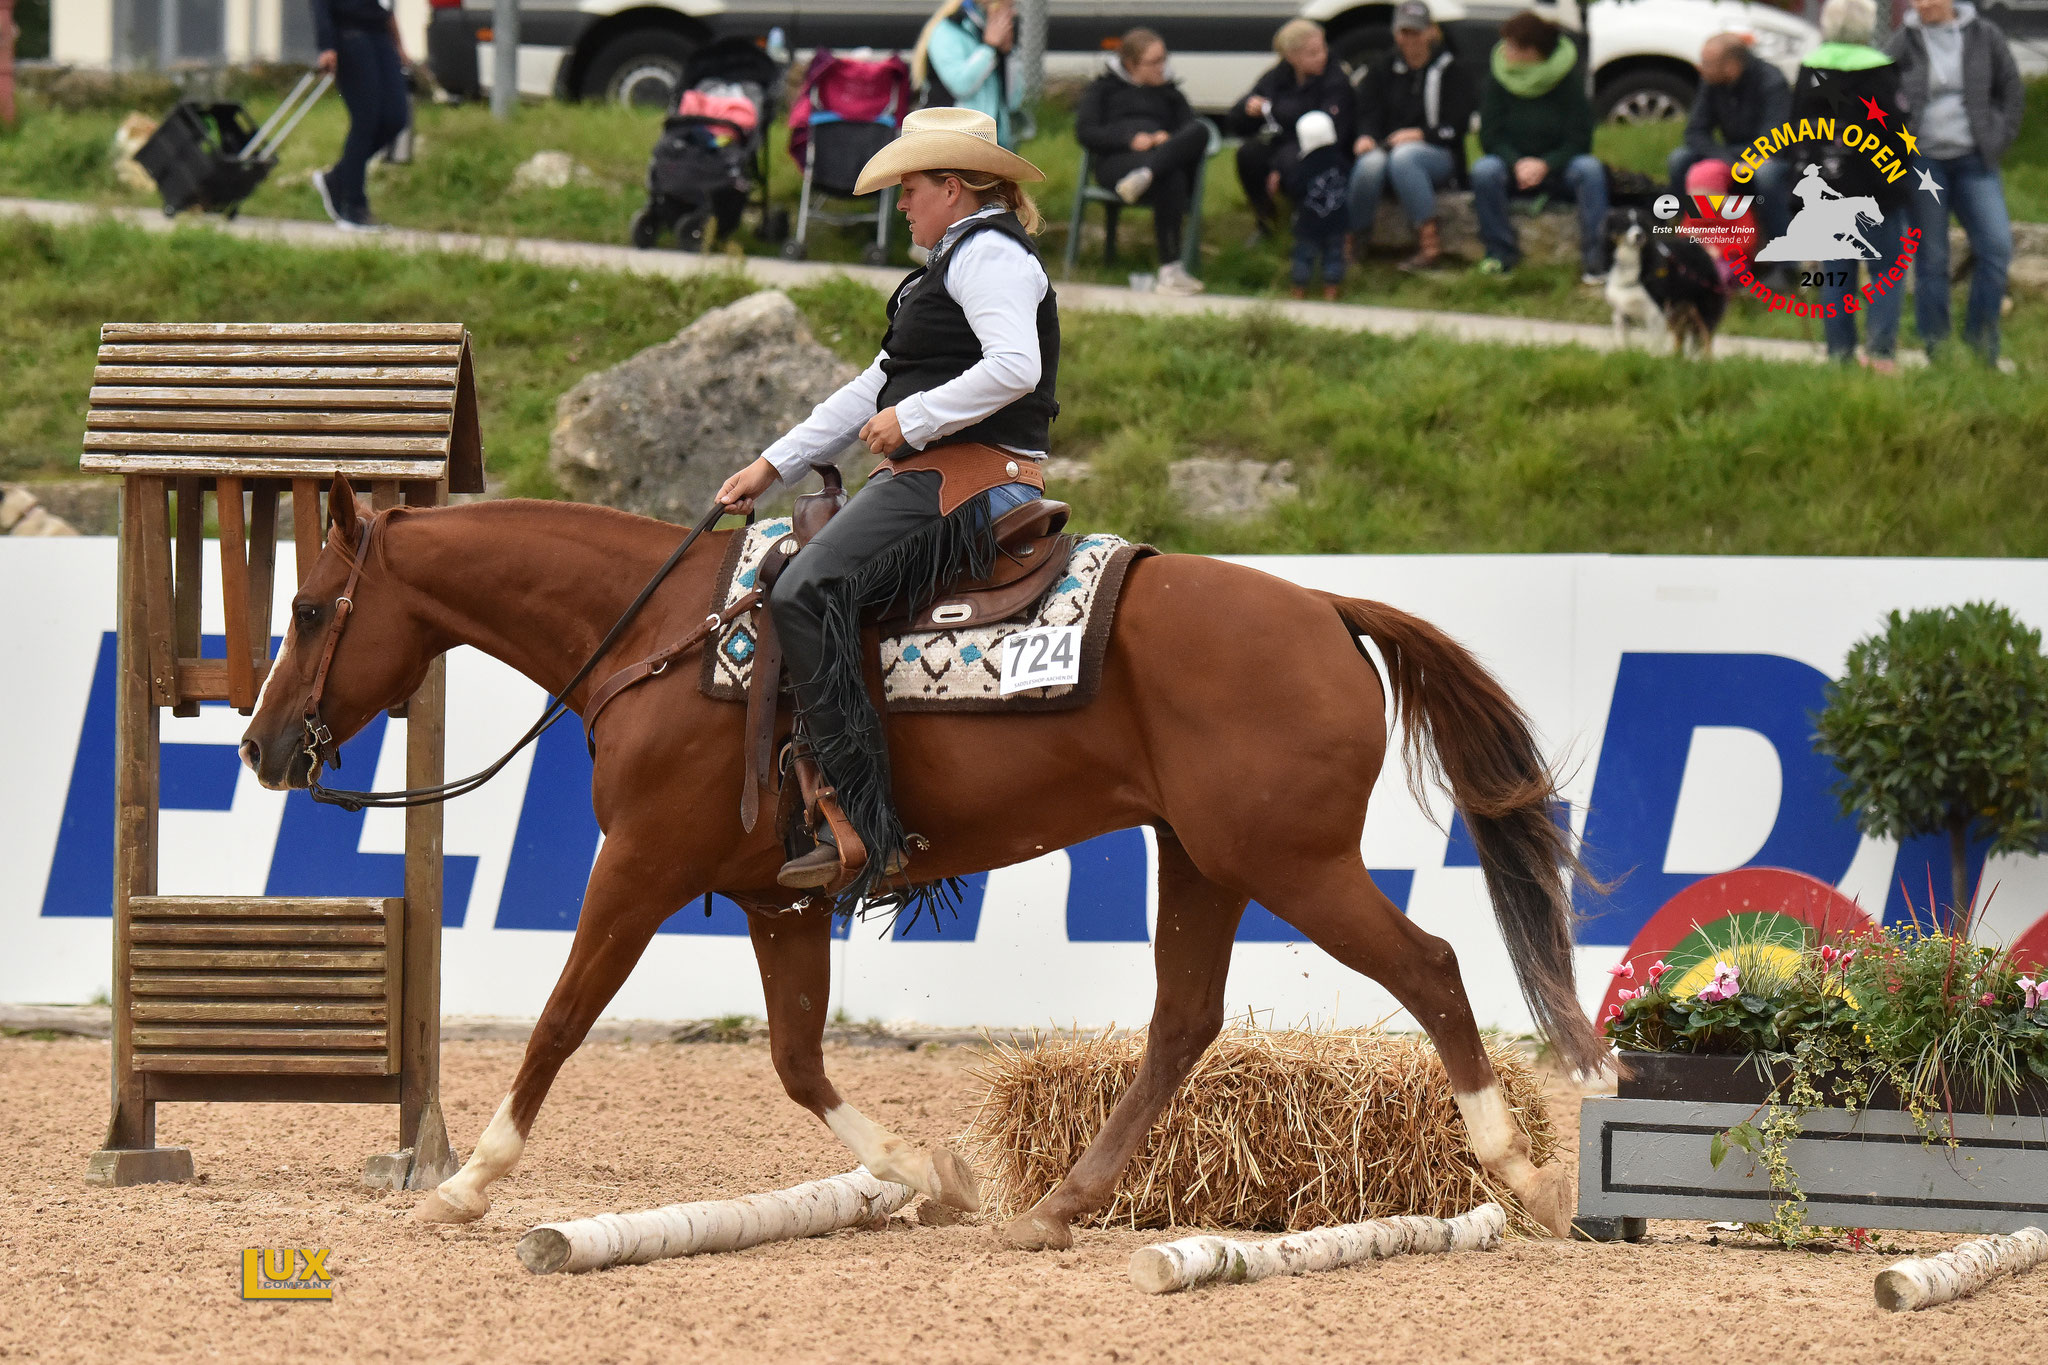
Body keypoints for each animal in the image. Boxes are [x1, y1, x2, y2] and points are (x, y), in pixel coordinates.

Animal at [243, 485, 1597, 1244]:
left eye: (308, 610)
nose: (258, 746)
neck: (667, 643)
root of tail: (1323, 608)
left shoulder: (638, 866)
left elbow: (558, 1022)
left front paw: (465, 1186)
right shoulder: (773, 897)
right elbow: (795, 1060)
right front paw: (925, 1175)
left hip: (1289, 859)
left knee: (1427, 968)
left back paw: (1521, 1175)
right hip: (1205, 858)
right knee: (1182, 1022)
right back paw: (1055, 1208)